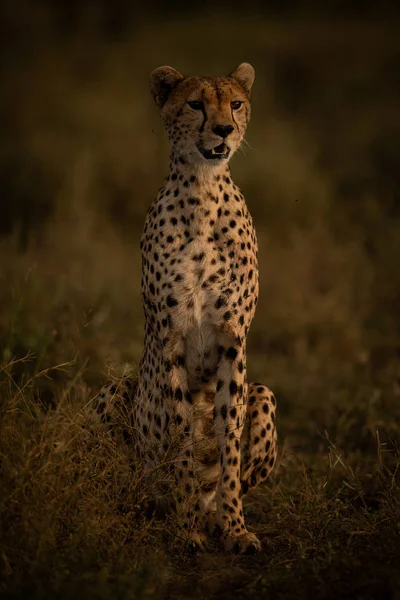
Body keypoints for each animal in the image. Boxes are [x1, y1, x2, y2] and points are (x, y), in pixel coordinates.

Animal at [93, 62, 278, 552]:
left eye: (235, 103)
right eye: (195, 103)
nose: (224, 130)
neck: (203, 190)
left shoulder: (233, 340)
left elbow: (229, 442)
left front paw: (233, 527)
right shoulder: (171, 337)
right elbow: (179, 434)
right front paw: (187, 525)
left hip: (264, 395)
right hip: (115, 391)